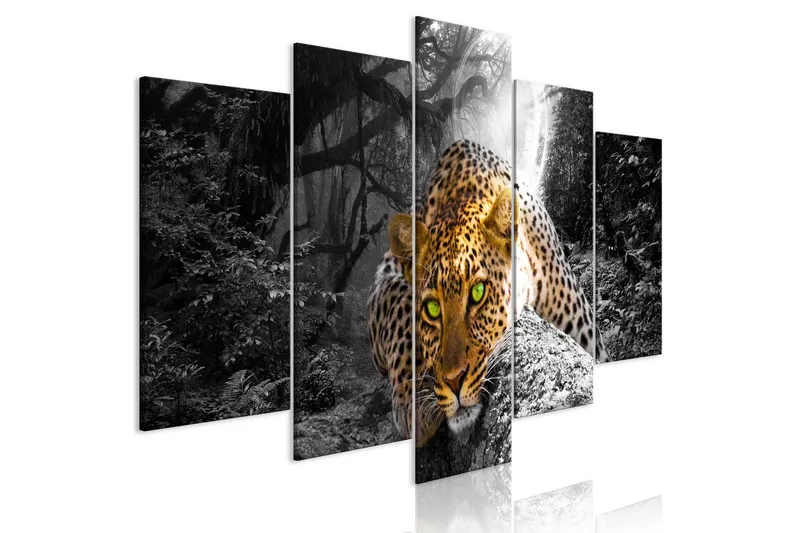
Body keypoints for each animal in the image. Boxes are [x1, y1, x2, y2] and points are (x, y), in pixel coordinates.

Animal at [368, 139, 608, 446]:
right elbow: (397, 303)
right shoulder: (384, 275)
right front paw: (415, 399)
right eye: (432, 308)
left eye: (478, 292)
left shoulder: (589, 337)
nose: (453, 380)